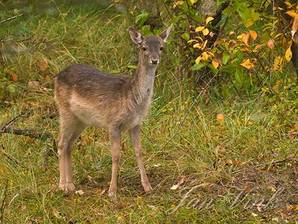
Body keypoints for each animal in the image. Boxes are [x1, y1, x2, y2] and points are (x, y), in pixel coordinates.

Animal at [53, 26, 171, 198]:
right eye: (144, 48)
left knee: (69, 144)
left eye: (161, 47)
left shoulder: (136, 124)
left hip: (81, 120)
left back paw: (71, 184)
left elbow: (139, 151)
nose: (154, 60)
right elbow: (116, 155)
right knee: (61, 143)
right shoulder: (113, 122)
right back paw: (62, 185)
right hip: (64, 110)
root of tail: (56, 76)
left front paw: (148, 187)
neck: (132, 99)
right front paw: (112, 191)